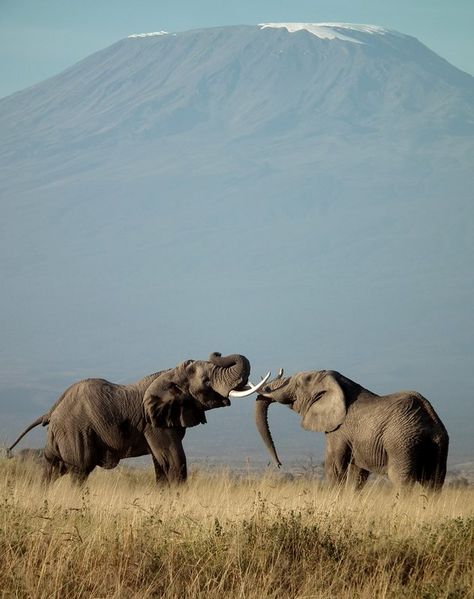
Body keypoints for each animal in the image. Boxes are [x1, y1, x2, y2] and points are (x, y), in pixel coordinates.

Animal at [11, 352, 268, 488]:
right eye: (206, 381)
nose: (217, 352)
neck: (170, 374)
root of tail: (51, 410)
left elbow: (161, 462)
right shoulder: (153, 423)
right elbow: (174, 460)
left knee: (52, 469)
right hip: (75, 432)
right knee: (78, 471)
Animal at [256, 370, 448, 492]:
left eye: (296, 384)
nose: (279, 464)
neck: (337, 383)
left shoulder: (339, 430)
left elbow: (334, 467)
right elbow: (357, 475)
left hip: (401, 443)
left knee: (402, 480)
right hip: (438, 445)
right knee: (434, 483)